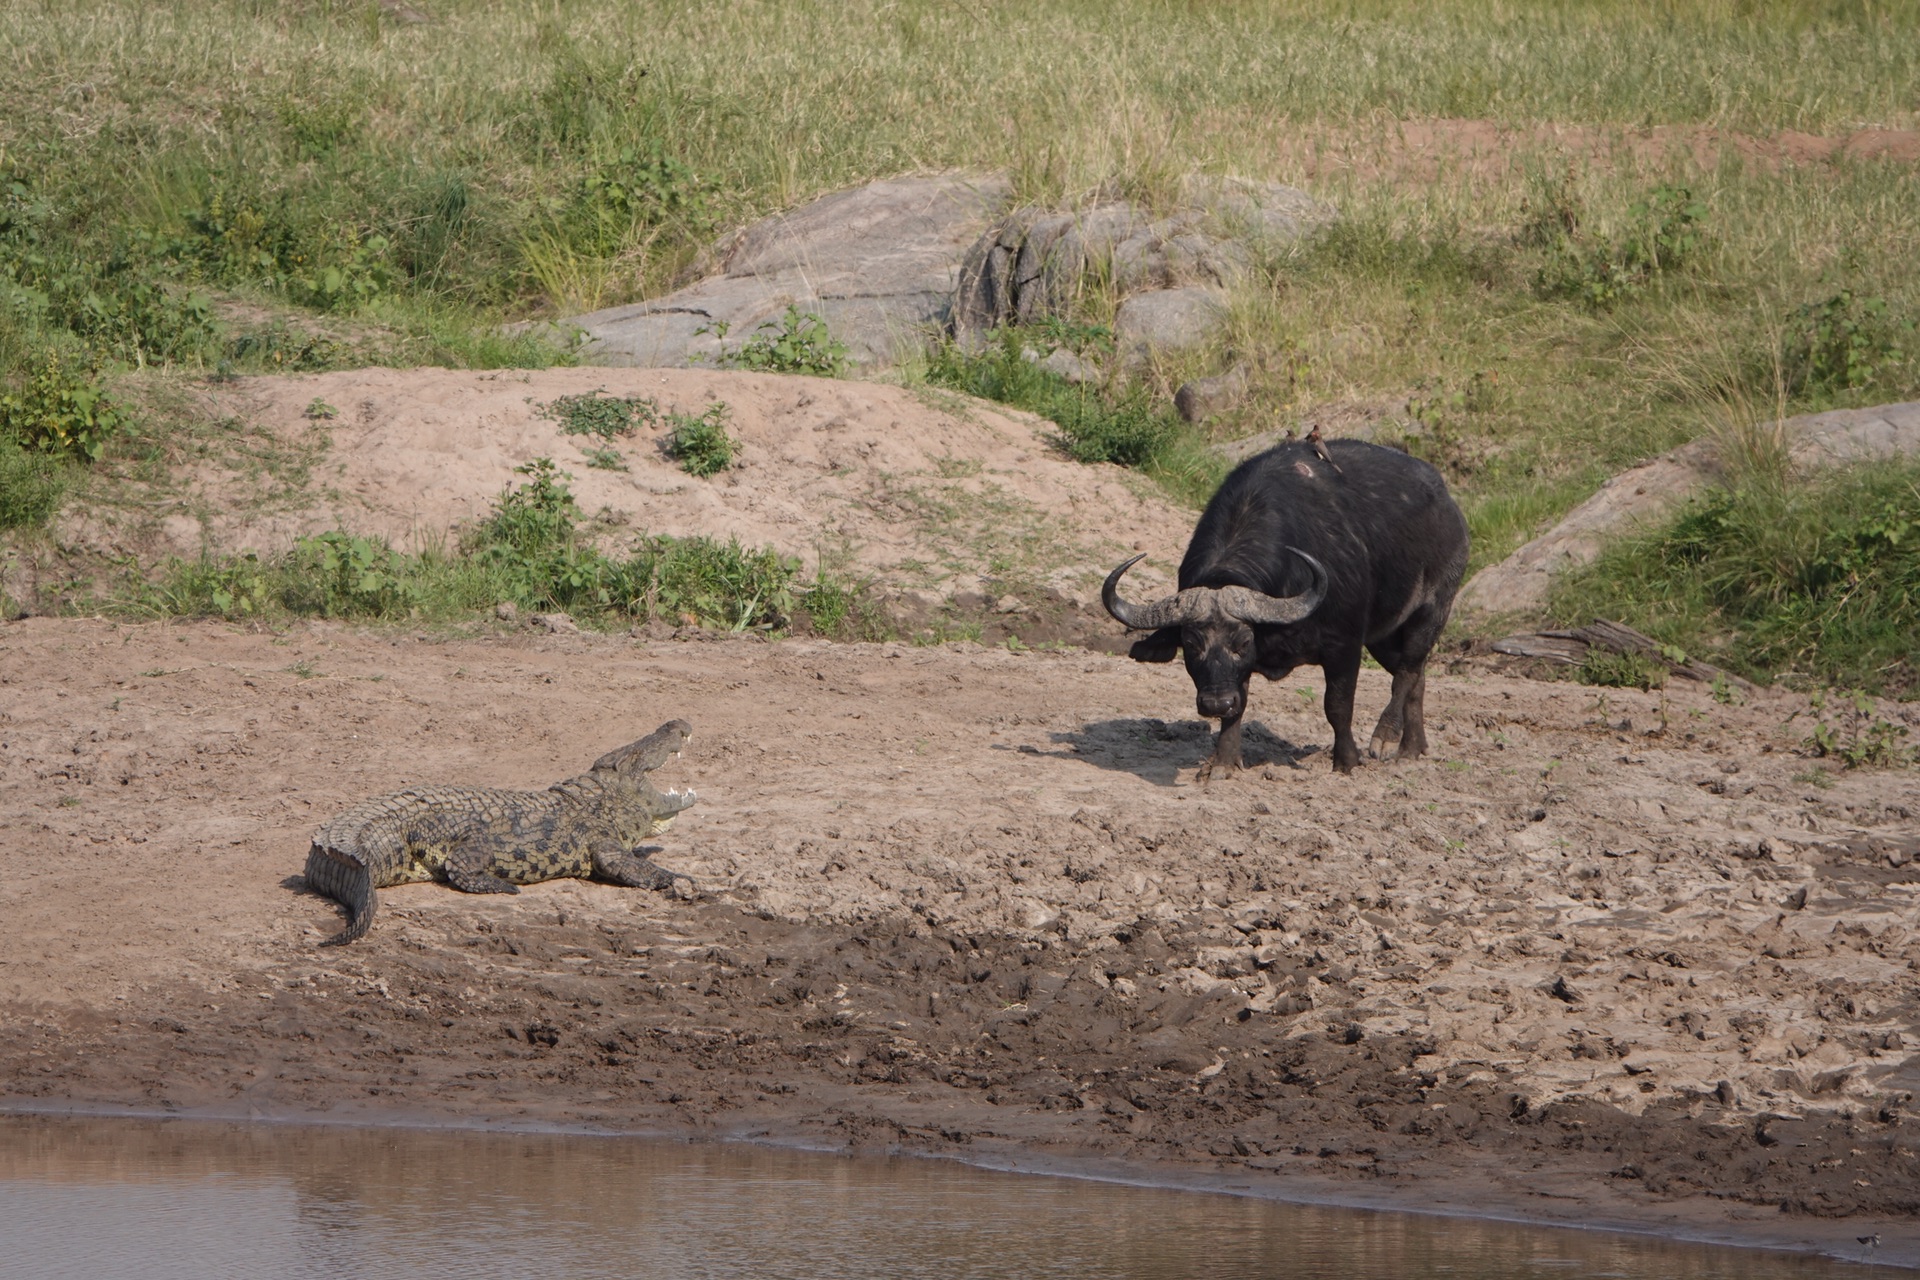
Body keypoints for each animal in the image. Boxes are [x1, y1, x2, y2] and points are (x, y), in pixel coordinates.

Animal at [1098, 441, 1466, 782]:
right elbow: (1238, 708)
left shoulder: (1344, 646)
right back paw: (1412, 748)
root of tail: (1449, 506)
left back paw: (1386, 737)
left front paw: (1346, 761)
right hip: (1384, 635)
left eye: (1244, 642)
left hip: (1433, 609)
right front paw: (1223, 763)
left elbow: (1338, 707)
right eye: (1190, 644)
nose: (1215, 703)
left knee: (1407, 670)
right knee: (1417, 676)